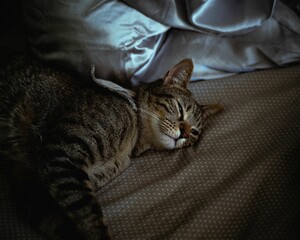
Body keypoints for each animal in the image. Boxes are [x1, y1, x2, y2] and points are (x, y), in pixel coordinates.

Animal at [0, 55, 223, 239]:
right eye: (179, 109)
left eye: (195, 132)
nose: (185, 134)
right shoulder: (61, 151)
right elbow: (89, 215)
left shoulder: (32, 187)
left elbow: (62, 223)